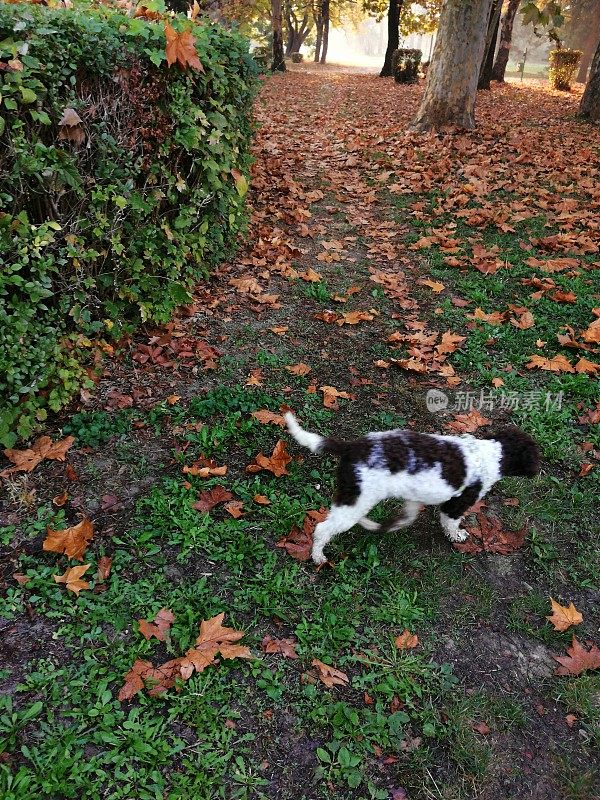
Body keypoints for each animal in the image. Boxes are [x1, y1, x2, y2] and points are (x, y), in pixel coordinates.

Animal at [284, 416, 540, 564]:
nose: (538, 472)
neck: (493, 452)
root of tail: (352, 447)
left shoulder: (415, 497)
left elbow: (408, 514)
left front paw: (393, 525)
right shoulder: (457, 503)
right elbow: (450, 523)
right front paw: (457, 537)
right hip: (356, 501)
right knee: (322, 529)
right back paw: (318, 556)